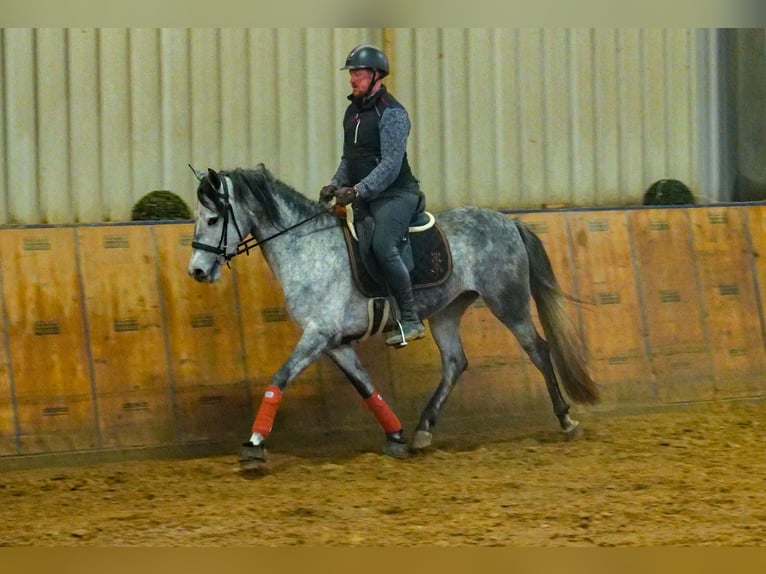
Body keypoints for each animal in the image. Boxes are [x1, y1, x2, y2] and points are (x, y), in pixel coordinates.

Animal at [186, 165, 600, 468]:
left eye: (212, 219)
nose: (197, 272)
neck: (307, 248)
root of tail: (507, 221)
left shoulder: (318, 335)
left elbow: (280, 378)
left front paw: (254, 444)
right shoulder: (334, 343)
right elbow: (367, 388)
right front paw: (396, 436)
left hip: (507, 303)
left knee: (539, 350)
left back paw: (566, 419)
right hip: (448, 310)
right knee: (455, 362)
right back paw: (422, 431)